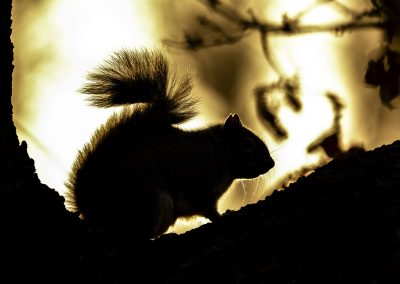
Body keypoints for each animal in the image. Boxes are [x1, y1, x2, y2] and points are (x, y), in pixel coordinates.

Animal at [65, 48, 276, 240]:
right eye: (248, 144)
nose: (271, 164)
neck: (219, 153)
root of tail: (93, 210)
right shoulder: (198, 180)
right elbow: (205, 207)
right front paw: (220, 216)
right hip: (150, 203)